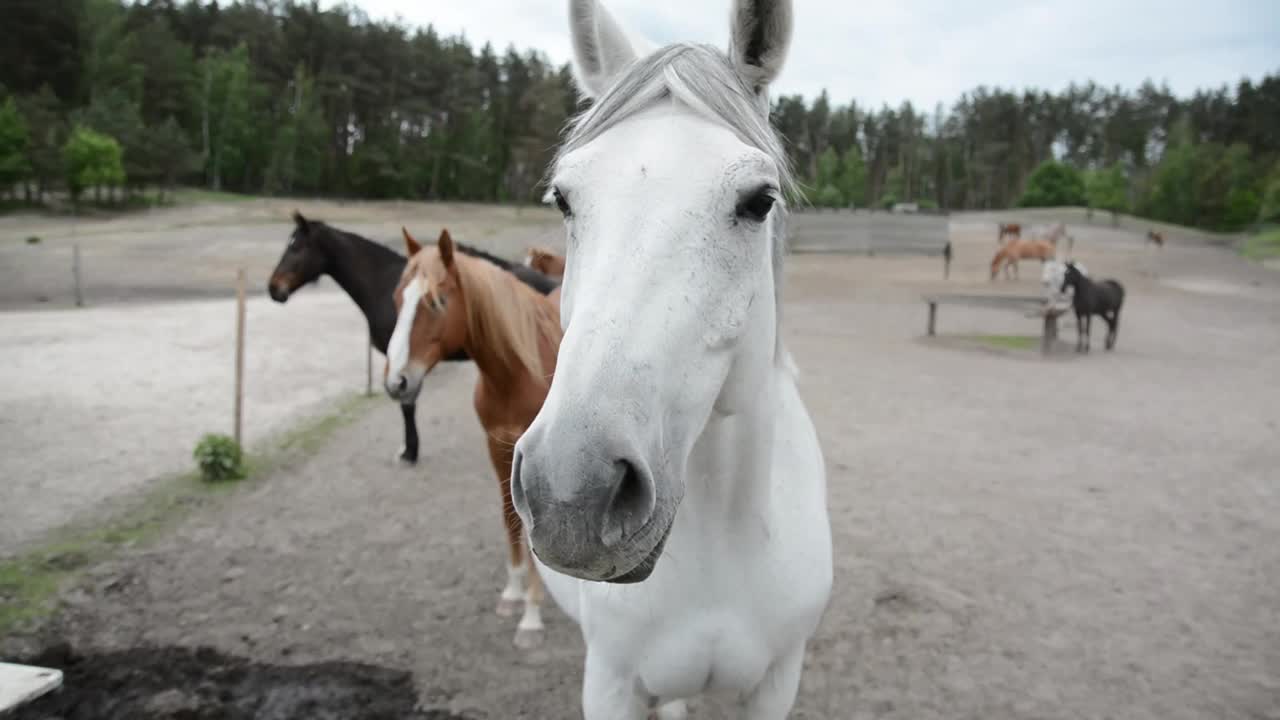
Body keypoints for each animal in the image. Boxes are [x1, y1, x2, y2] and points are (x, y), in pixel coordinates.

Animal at [267, 210, 558, 461]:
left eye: (296, 248)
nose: (273, 288)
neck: (380, 283)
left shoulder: (404, 367)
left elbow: (407, 406)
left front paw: (409, 451)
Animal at [378, 226, 560, 648]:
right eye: (398, 298)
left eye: (437, 301)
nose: (397, 382)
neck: (519, 372)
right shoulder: (497, 446)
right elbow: (510, 518)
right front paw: (513, 594)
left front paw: (531, 616)